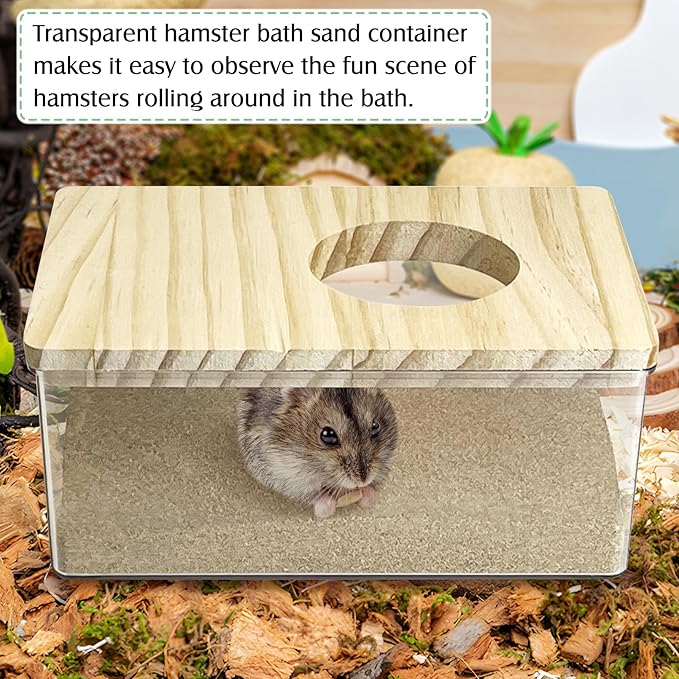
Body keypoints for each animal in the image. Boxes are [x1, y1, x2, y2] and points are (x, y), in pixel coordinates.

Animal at [237, 387, 398, 519]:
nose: (363, 480)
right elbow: (314, 494)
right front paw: (326, 509)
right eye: (327, 435)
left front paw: (368, 497)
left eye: (376, 426)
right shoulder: (284, 474)